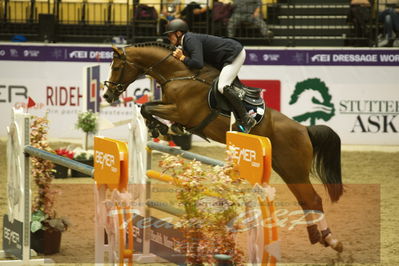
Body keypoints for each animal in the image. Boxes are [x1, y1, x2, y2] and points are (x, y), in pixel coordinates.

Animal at [104, 42, 346, 252]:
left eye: (116, 67)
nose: (107, 95)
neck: (179, 75)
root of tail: (304, 129)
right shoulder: (169, 106)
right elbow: (146, 107)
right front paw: (163, 128)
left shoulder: (181, 111)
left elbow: (146, 107)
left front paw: (161, 128)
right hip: (286, 168)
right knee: (305, 199)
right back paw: (318, 237)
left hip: (293, 167)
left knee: (313, 198)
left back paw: (332, 240)